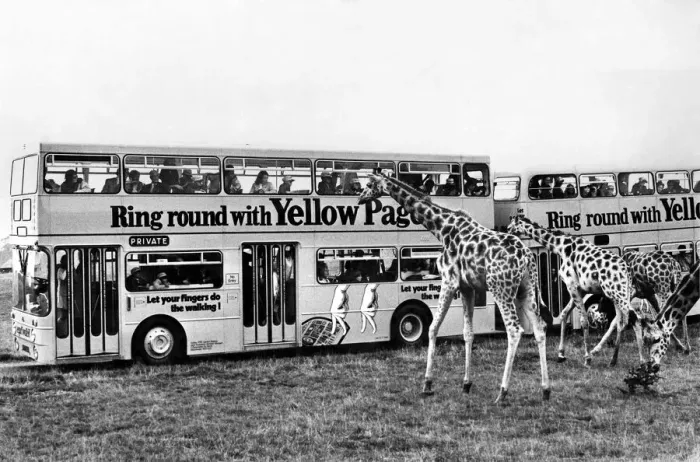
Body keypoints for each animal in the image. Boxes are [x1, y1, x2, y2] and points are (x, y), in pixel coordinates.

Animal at [358, 174, 551, 402]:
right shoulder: (468, 287)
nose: (360, 198)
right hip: (526, 290)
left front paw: (427, 383)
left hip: (501, 289)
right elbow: (468, 332)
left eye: (369, 184)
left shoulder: (448, 281)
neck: (442, 229)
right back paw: (546, 389)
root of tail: (528, 256)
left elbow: (433, 328)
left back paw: (502, 392)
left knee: (514, 330)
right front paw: (466, 384)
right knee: (539, 328)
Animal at [506, 216, 638, 367]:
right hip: (616, 295)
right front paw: (561, 354)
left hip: (618, 293)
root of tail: (627, 270)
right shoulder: (580, 289)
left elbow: (584, 321)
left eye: (512, 225)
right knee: (622, 322)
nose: (507, 231)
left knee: (631, 319)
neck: (561, 247)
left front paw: (587, 359)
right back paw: (614, 360)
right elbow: (564, 313)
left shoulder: (572, 285)